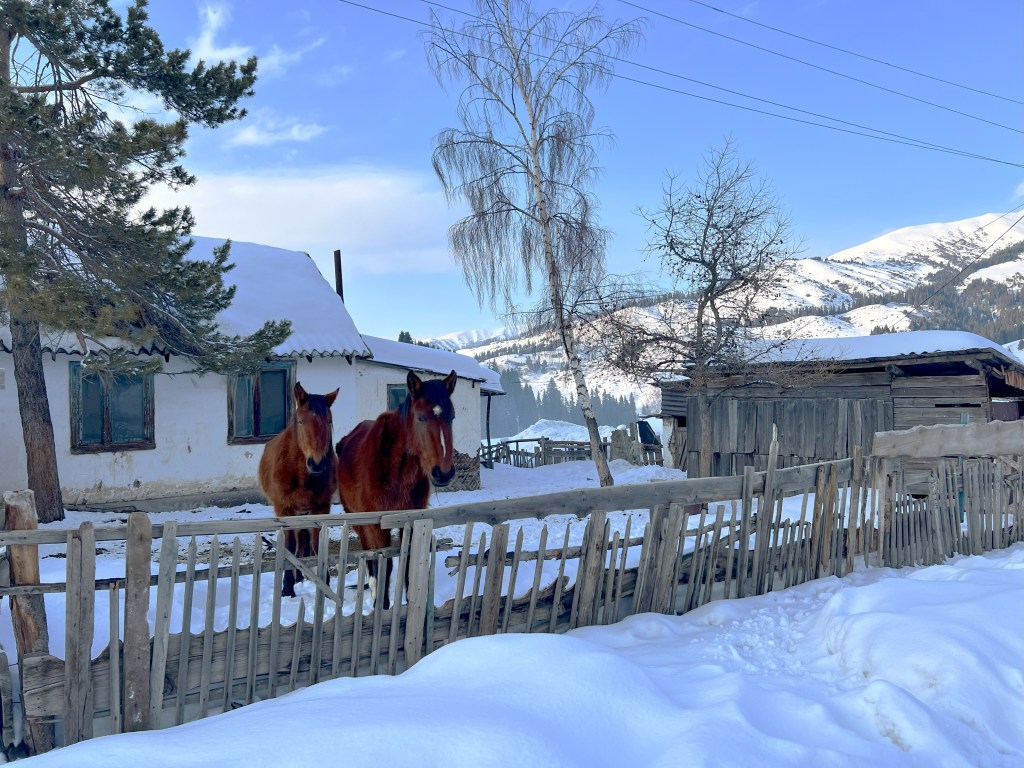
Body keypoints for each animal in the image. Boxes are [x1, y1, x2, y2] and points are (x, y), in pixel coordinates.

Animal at [258, 382, 339, 597]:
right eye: (301, 421)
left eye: (329, 420)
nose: (317, 464)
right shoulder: (285, 511)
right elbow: (289, 546)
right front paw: (287, 588)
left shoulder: (320, 508)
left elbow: (317, 543)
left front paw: (324, 584)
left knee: (303, 540)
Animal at [336, 369, 457, 609]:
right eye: (420, 417)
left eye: (452, 416)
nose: (444, 472)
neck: (396, 472)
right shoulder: (375, 525)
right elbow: (384, 564)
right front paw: (380, 606)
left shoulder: (412, 520)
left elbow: (410, 562)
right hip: (359, 521)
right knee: (370, 557)